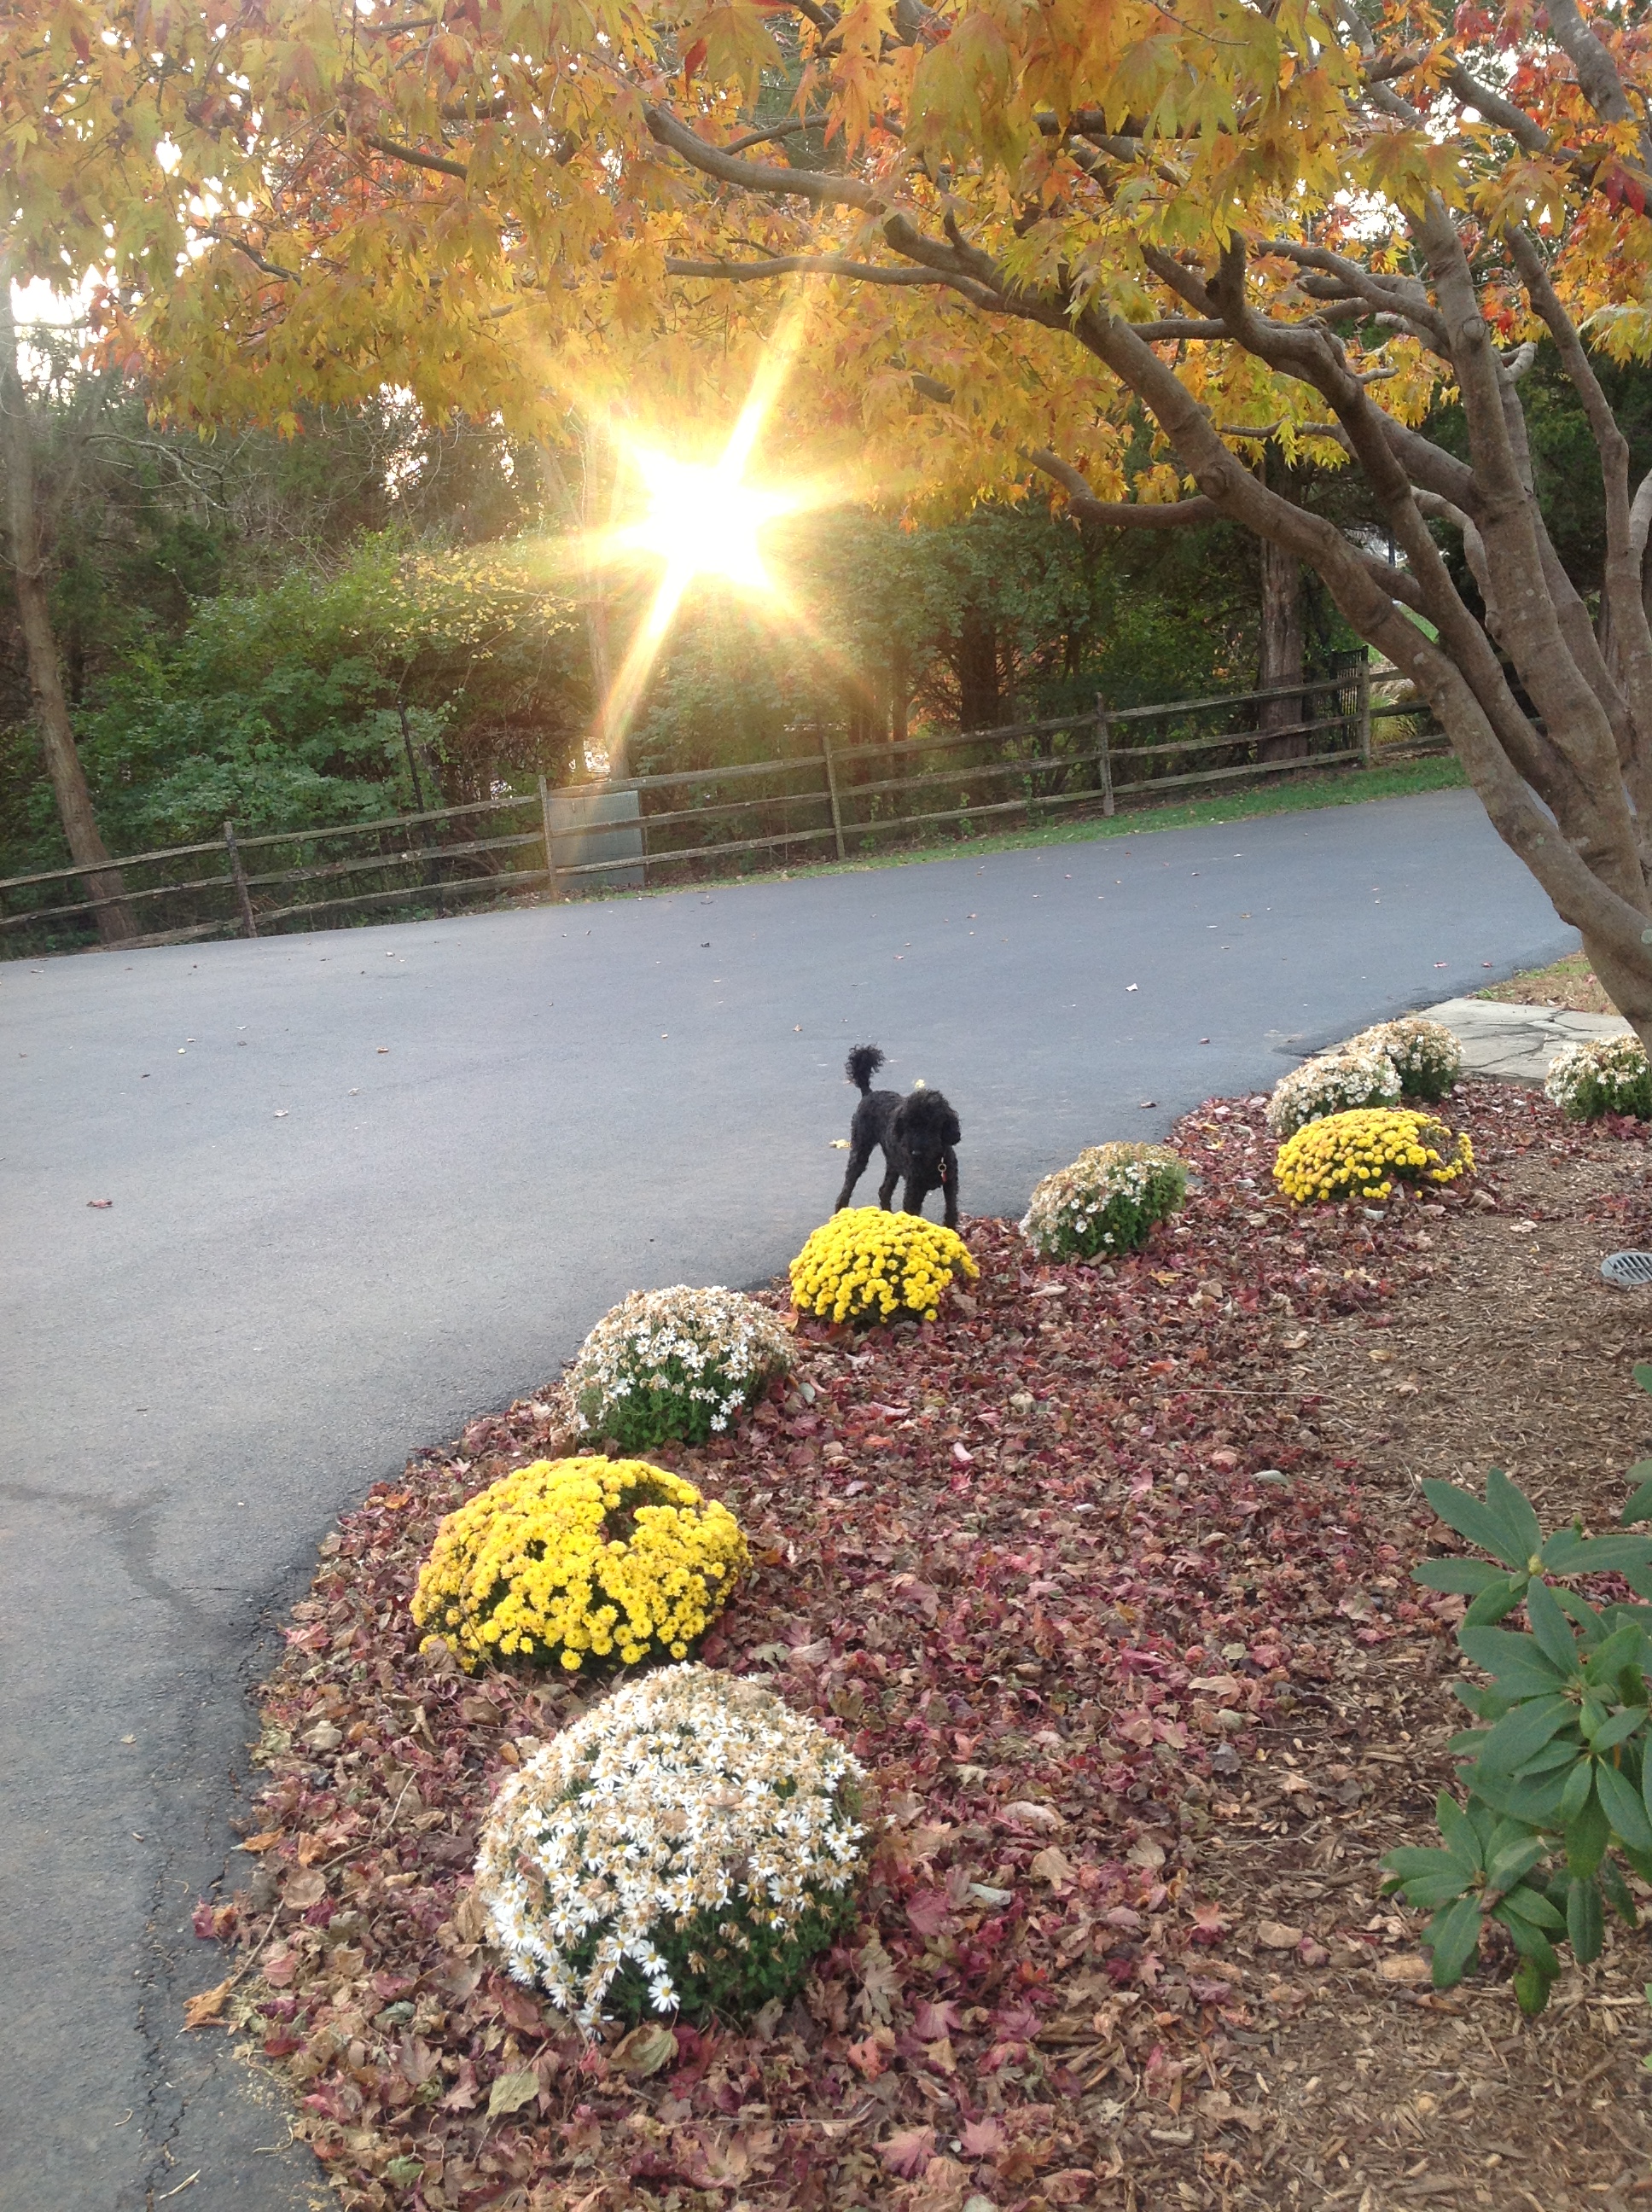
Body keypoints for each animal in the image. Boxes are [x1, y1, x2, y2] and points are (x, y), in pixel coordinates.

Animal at [834, 1044, 962, 1229]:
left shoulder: (951, 1184)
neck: (934, 1161)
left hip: (893, 1162)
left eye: (931, 1125)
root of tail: (868, 1093)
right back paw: (840, 1212)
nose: (915, 1153)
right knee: (847, 1188)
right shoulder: (914, 1191)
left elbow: (951, 1212)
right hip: (860, 1149)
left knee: (884, 1191)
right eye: (908, 1125)